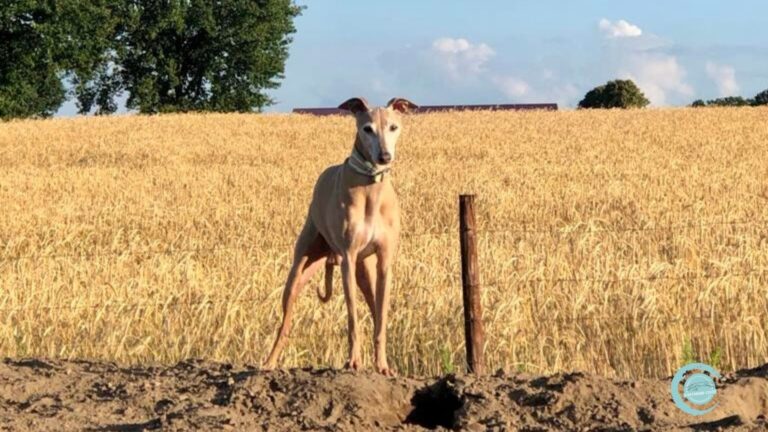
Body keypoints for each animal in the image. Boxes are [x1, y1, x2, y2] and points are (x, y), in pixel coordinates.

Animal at [266, 95, 420, 374]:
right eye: (367, 128)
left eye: (393, 127)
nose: (384, 156)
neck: (371, 188)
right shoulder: (348, 258)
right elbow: (352, 317)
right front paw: (353, 361)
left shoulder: (384, 262)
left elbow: (380, 318)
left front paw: (383, 366)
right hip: (300, 270)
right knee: (285, 324)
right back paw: (269, 363)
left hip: (364, 271)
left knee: (374, 308)